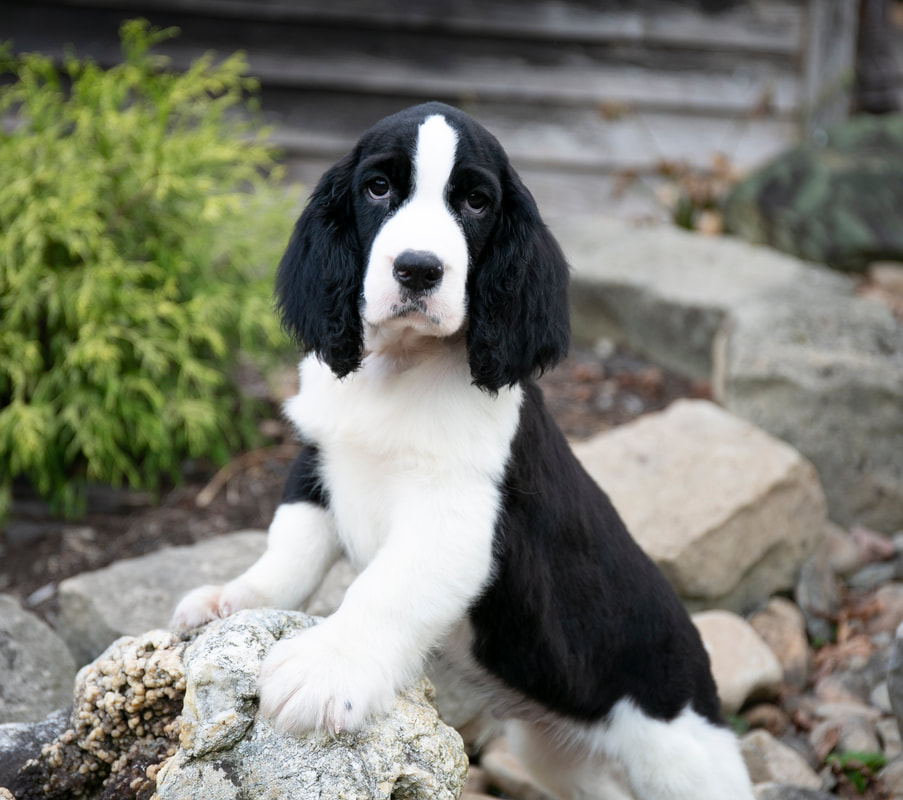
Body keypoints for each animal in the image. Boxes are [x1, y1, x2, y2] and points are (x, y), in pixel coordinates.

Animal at [175, 103, 756, 796]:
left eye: (476, 202)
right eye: (378, 188)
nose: (417, 269)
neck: (399, 370)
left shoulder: (452, 521)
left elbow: (384, 589)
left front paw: (325, 669)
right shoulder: (317, 461)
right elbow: (290, 547)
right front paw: (231, 599)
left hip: (682, 754)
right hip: (552, 751)